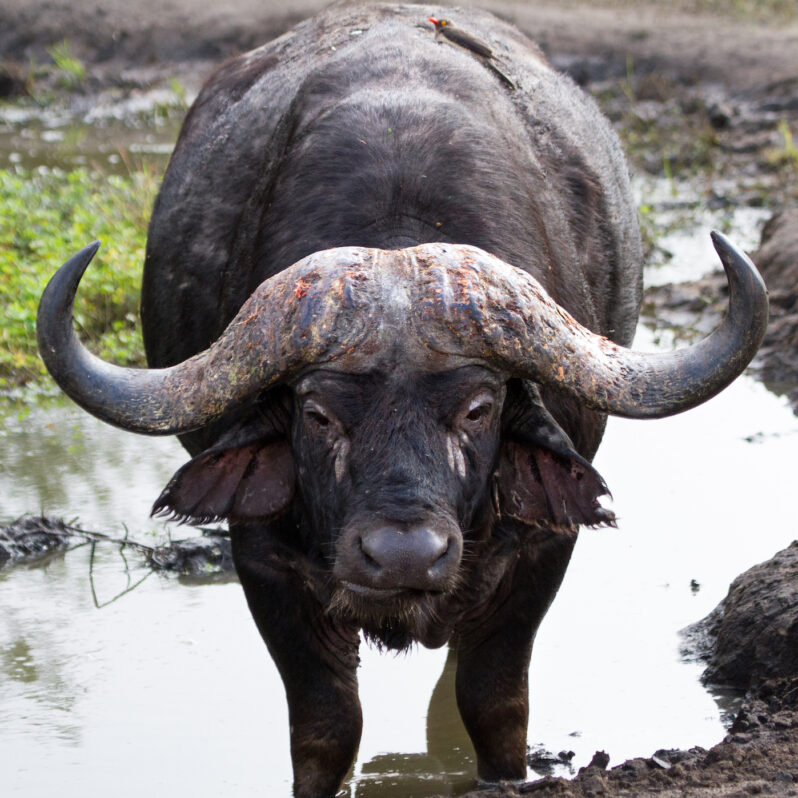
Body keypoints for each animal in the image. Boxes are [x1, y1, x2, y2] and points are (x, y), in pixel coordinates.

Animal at [37, 4, 768, 797]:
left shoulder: (543, 546)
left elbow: (494, 703)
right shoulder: (262, 556)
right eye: (318, 415)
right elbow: (326, 725)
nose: (404, 555)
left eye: (478, 410)